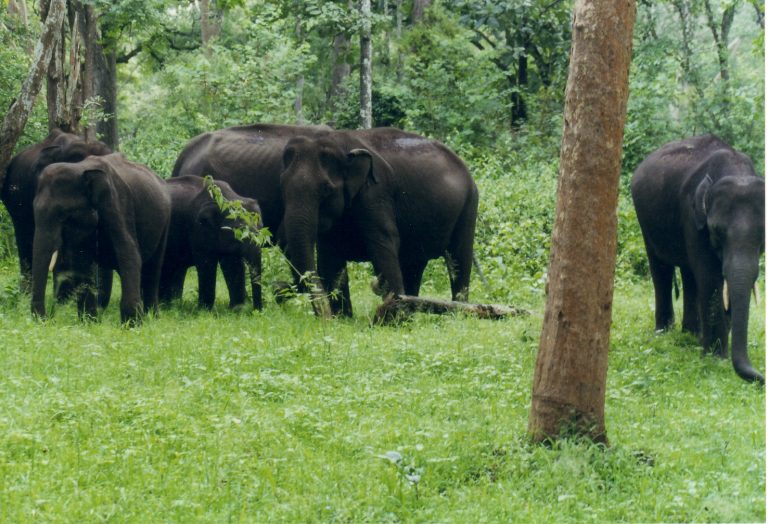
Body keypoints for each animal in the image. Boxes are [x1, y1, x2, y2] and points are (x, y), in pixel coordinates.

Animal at [31, 153, 171, 324]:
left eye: (63, 215)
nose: (47, 319)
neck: (79, 168)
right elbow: (80, 263)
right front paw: (89, 322)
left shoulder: (116, 203)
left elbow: (129, 254)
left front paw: (131, 324)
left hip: (165, 221)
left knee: (153, 268)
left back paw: (153, 317)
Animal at [160, 175, 263, 310]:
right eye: (237, 231)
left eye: (261, 227)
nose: (257, 310)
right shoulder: (198, 229)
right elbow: (206, 264)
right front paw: (204, 310)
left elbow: (232, 264)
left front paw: (237, 309)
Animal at [278, 127, 479, 317]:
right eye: (283, 185)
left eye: (326, 189)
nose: (279, 287)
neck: (339, 144)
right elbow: (330, 256)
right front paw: (342, 319)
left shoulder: (375, 193)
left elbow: (383, 244)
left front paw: (394, 318)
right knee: (414, 263)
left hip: (469, 205)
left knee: (459, 259)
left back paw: (458, 313)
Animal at [631, 134, 765, 384]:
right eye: (717, 232)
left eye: (763, 236)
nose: (761, 379)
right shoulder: (693, 218)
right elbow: (711, 279)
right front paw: (715, 358)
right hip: (645, 220)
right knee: (661, 270)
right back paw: (664, 333)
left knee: (689, 275)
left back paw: (691, 335)